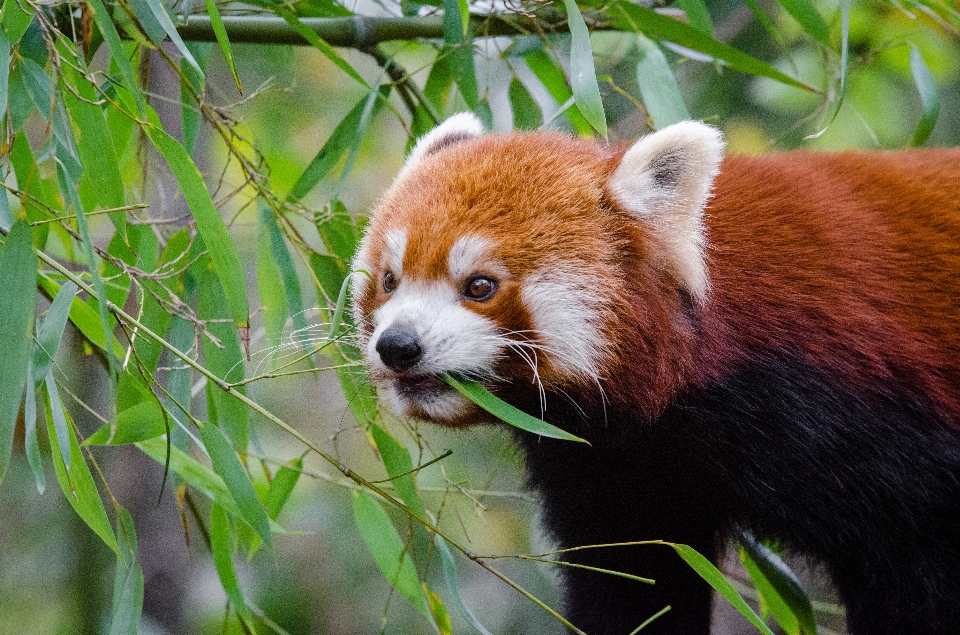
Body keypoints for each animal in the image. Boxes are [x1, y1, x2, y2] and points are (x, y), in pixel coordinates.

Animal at [350, 115, 960, 635]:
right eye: (389, 279)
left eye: (479, 286)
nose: (397, 346)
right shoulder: (625, 471)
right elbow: (634, 581)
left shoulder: (869, 422)